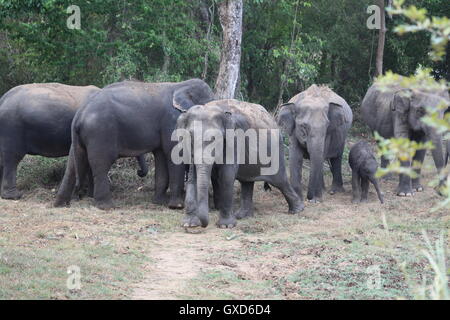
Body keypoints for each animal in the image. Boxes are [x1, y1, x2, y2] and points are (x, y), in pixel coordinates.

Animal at [0, 82, 149, 200]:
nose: (139, 172)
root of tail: (3, 98)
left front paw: (89, 196)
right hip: (12, 129)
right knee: (12, 159)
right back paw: (14, 196)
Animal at [53, 79, 215, 210]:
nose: (139, 172)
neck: (181, 85)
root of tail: (79, 114)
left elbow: (161, 156)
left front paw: (160, 203)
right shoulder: (172, 120)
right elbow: (173, 153)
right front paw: (176, 206)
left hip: (81, 137)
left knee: (72, 164)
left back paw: (61, 204)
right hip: (100, 132)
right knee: (101, 164)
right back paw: (106, 206)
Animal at [175, 99, 302, 229]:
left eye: (216, 139)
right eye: (190, 137)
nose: (204, 225)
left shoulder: (234, 141)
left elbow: (226, 176)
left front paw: (226, 226)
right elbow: (192, 177)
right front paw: (189, 224)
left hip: (276, 153)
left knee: (279, 181)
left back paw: (297, 210)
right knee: (247, 182)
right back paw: (243, 216)